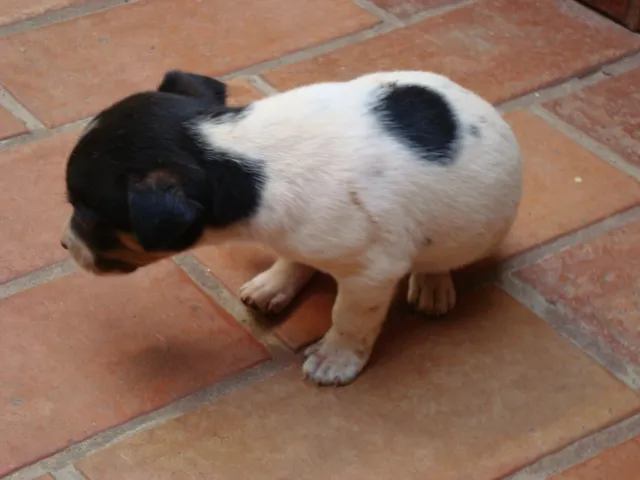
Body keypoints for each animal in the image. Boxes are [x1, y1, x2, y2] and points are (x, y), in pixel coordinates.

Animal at [60, 70, 524, 386]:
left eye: (85, 213)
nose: (64, 244)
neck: (235, 155)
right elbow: (297, 257)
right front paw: (280, 279)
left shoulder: (370, 274)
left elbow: (349, 318)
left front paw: (336, 359)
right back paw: (273, 285)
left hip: (473, 230)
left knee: (440, 258)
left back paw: (431, 283)